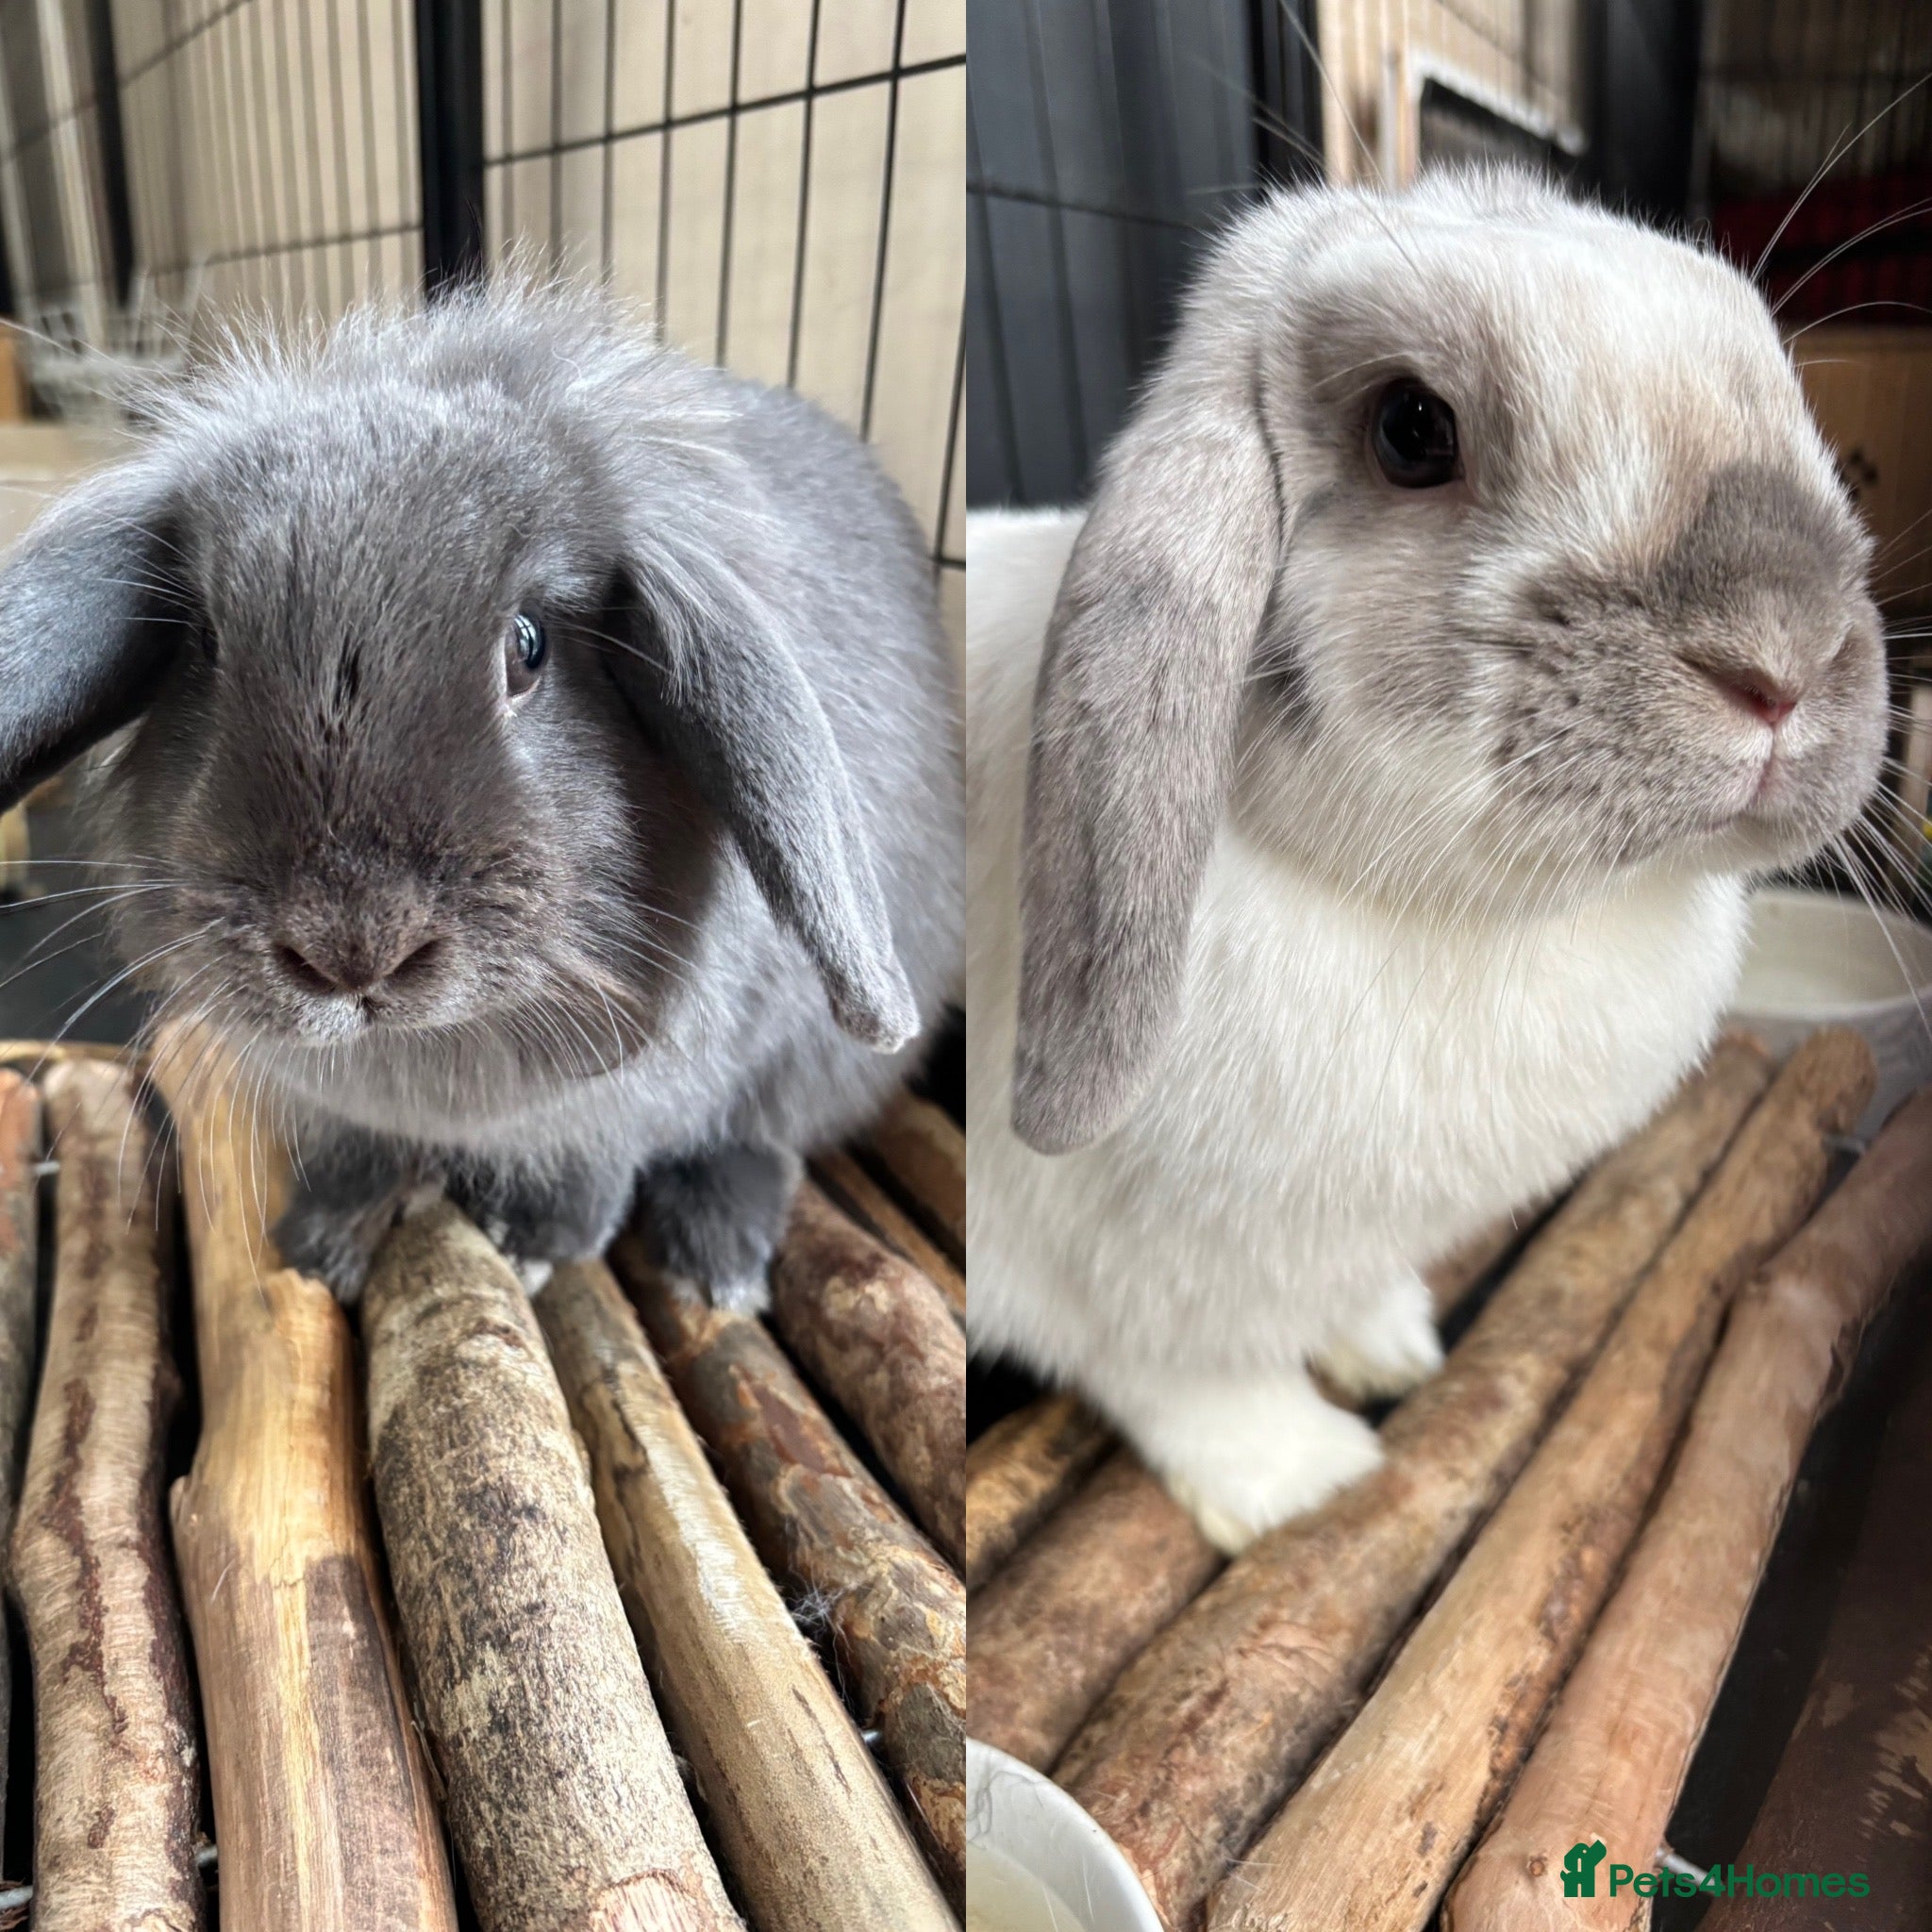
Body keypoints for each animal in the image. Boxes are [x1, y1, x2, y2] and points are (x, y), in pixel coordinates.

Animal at [0, 281, 962, 1302]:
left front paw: (532, 1239)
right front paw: (321, 1240)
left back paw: (717, 1261)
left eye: (528, 646)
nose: (352, 948)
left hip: (810, 1063)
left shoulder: (637, 1101)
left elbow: (597, 1167)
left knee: (764, 1139)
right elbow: (357, 1154)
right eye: (207, 645)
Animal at [966, 168, 1886, 1553]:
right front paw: (1299, 1478)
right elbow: (1186, 1376)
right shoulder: (1114, 1273)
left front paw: (1393, 1346)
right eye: (1410, 430)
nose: (1781, 657)